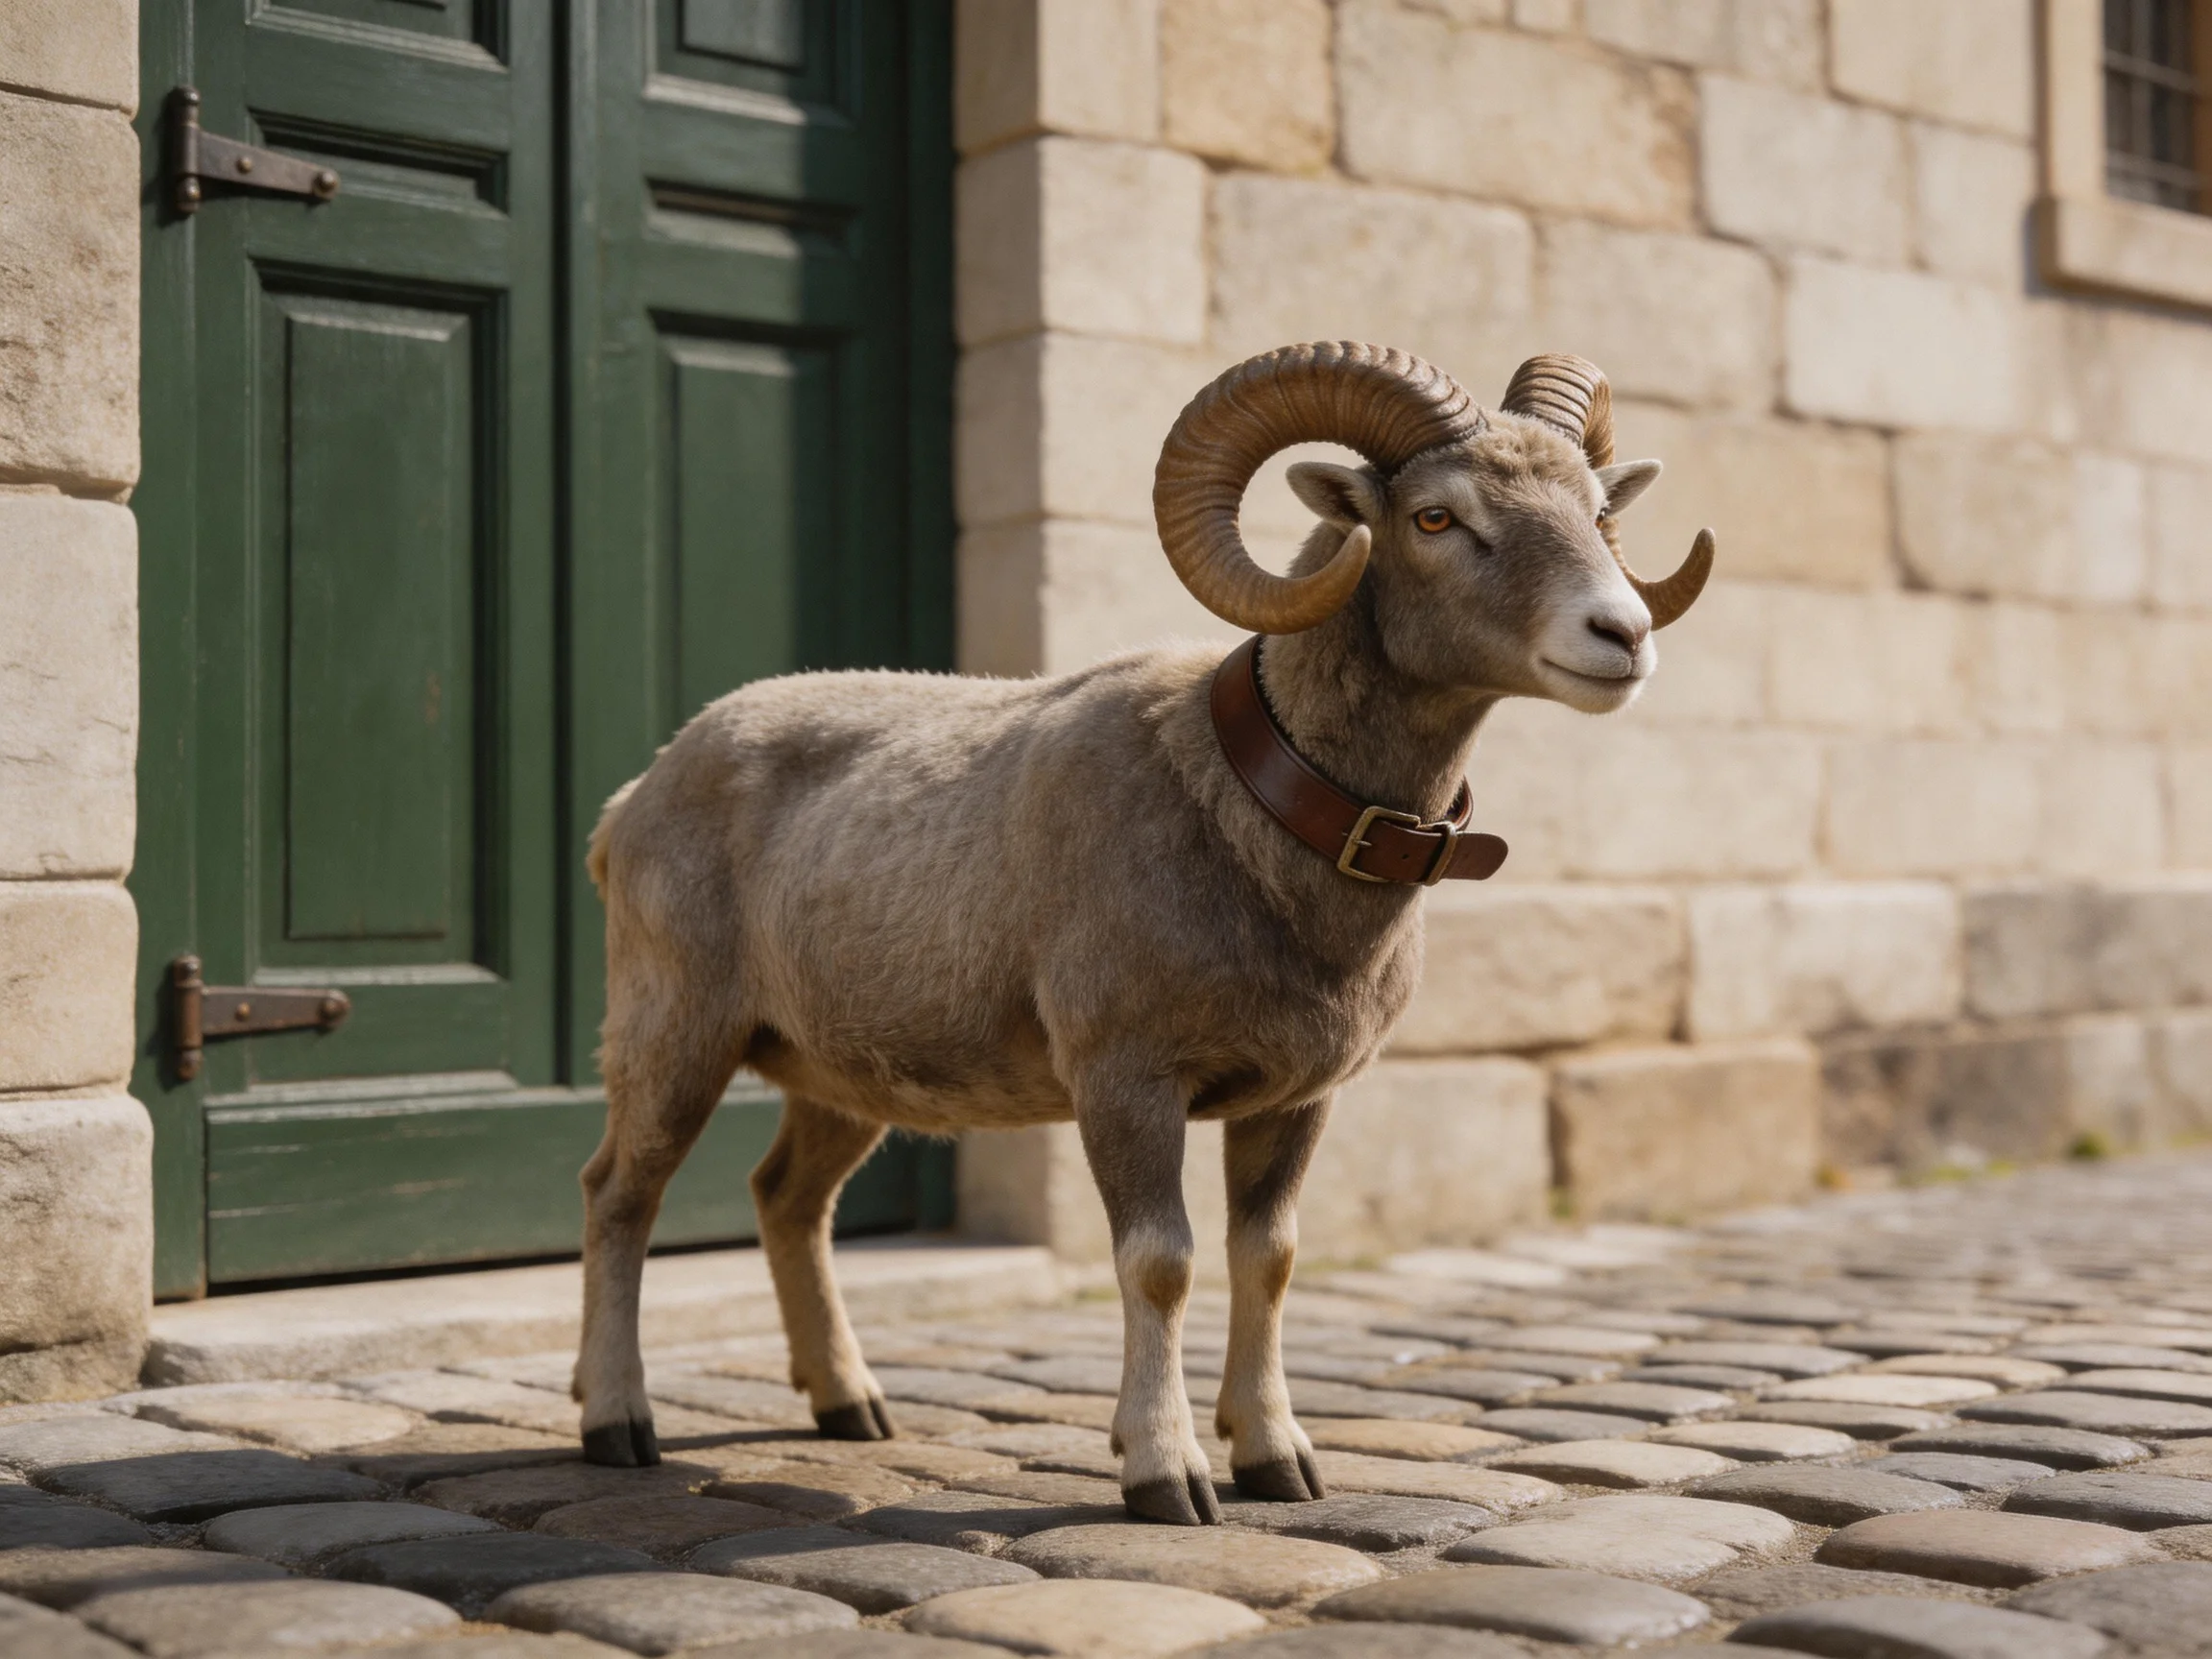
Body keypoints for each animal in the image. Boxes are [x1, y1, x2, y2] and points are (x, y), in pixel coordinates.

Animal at [572, 343, 1714, 1525]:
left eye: (1597, 510)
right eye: (1437, 517)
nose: (1621, 636)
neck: (1248, 812)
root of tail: (637, 795)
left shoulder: (1296, 1099)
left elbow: (1269, 1258)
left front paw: (1276, 1462)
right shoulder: (1126, 1079)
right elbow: (1160, 1263)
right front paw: (1167, 1476)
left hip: (843, 1076)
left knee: (789, 1201)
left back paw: (851, 1406)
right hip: (674, 1034)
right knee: (620, 1195)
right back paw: (619, 1425)